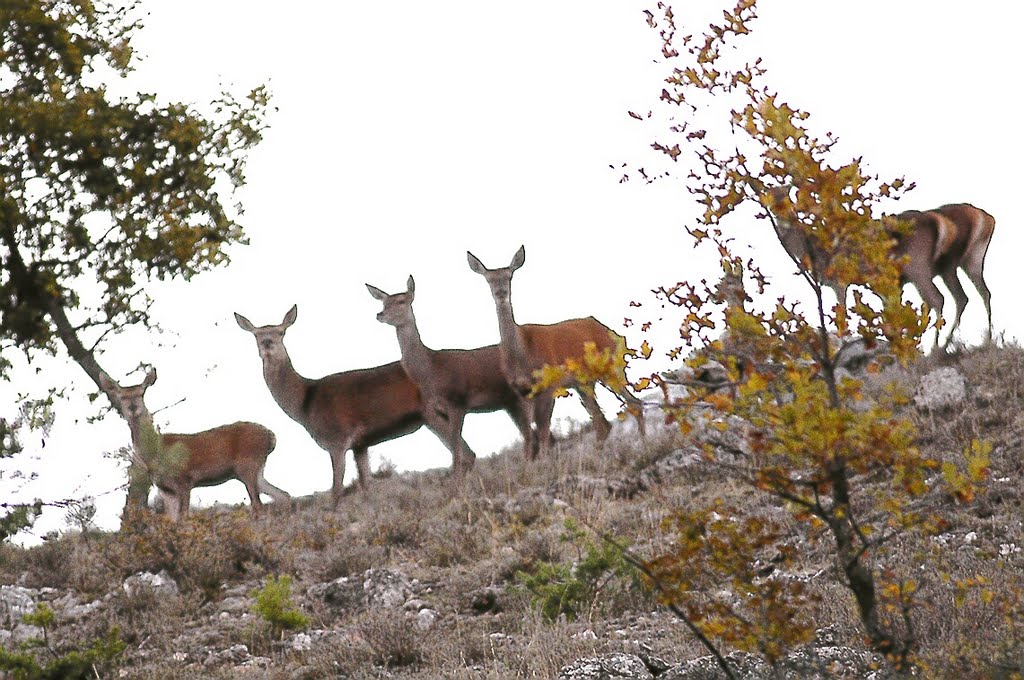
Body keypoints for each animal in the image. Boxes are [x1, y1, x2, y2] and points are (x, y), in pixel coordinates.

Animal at [97, 368, 290, 518]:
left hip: (248, 463)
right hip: (256, 470)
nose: (133, 407)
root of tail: (271, 436)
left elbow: (184, 519)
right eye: (121, 396)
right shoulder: (165, 489)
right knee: (283, 495)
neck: (157, 452)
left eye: (141, 392)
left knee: (258, 505)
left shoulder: (185, 479)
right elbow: (172, 521)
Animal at [234, 305, 473, 507]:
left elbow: (337, 490)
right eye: (256, 334)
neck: (305, 404)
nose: (267, 343)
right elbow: (366, 486)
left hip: (433, 412)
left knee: (466, 455)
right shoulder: (361, 443)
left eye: (281, 332)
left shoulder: (337, 439)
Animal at [364, 276, 540, 477]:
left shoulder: (458, 402)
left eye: (401, 301)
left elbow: (457, 454)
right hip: (510, 402)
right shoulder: (438, 410)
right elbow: (461, 453)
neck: (431, 371)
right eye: (384, 302)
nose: (380, 314)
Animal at [466, 245, 643, 462]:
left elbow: (543, 432)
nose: (501, 293)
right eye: (489, 279)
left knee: (634, 404)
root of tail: (611, 332)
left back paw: (644, 445)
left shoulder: (549, 384)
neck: (523, 355)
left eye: (509, 276)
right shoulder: (520, 391)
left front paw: (545, 463)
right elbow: (529, 435)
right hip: (583, 382)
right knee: (602, 422)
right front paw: (531, 465)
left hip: (611, 367)